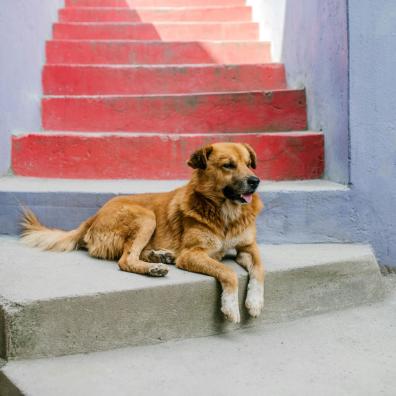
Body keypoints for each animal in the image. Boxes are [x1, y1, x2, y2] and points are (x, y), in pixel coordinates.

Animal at [21, 142, 264, 322]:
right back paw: (153, 268)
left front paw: (255, 302)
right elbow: (227, 272)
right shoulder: (191, 253)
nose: (255, 181)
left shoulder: (248, 247)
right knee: (125, 259)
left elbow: (260, 271)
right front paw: (230, 306)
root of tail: (94, 216)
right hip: (146, 216)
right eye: (228, 165)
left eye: (249, 164)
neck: (227, 213)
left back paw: (161, 256)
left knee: (133, 253)